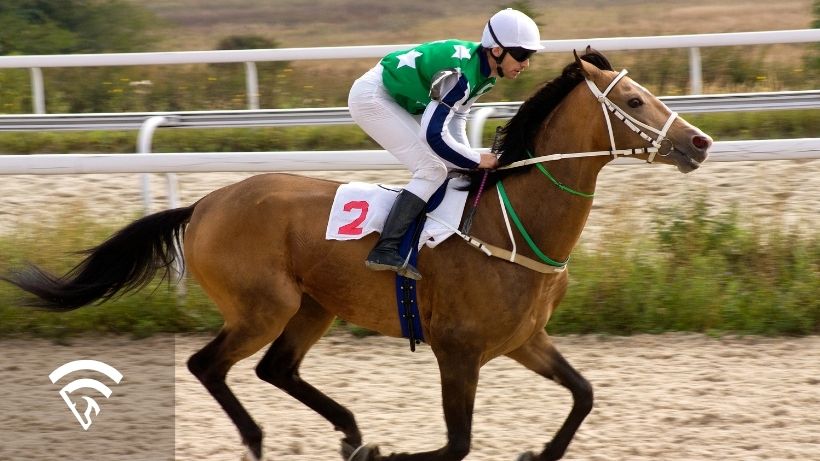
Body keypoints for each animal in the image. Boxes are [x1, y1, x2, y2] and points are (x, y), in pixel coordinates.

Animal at [4, 49, 711, 461]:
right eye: (633, 101)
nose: (700, 142)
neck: (512, 223)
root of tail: (205, 203)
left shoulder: (523, 340)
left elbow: (584, 395)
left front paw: (537, 453)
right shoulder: (458, 350)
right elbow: (456, 444)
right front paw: (391, 454)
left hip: (313, 305)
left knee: (276, 369)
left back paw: (348, 432)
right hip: (264, 306)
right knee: (210, 365)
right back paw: (263, 441)